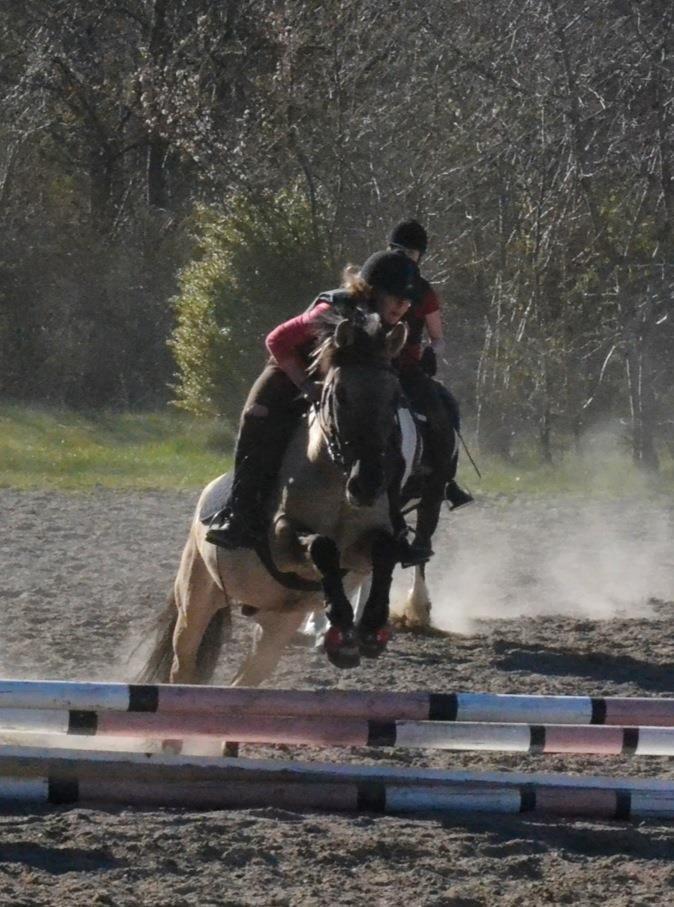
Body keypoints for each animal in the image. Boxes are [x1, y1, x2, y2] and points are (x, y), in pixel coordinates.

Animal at [139, 308, 430, 692]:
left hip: (276, 625)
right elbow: (321, 546)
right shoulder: (280, 542)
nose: (367, 485)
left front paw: (368, 631)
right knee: (182, 667)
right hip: (197, 598)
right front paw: (341, 627)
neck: (336, 480)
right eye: (340, 396)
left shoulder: (360, 551)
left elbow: (382, 551)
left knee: (243, 682)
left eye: (395, 397)